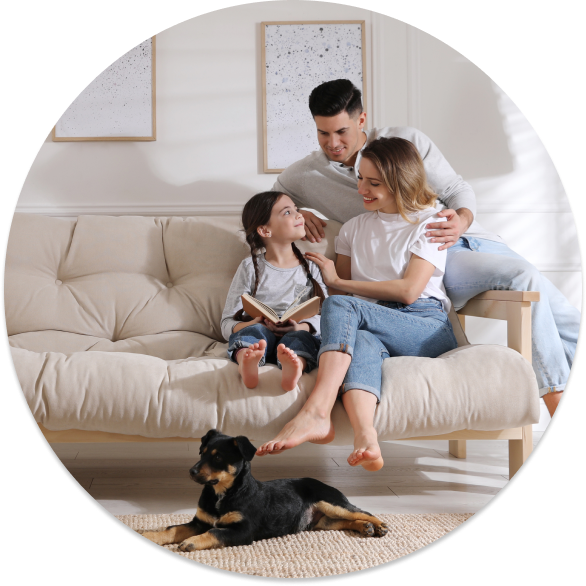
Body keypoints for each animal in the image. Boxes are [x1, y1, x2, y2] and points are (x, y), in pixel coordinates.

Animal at [139, 428, 386, 548]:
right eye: (202, 453)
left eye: (218, 457)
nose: (191, 471)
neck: (222, 493)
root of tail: (322, 482)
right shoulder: (199, 521)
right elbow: (172, 528)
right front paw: (151, 535)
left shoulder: (243, 530)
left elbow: (215, 532)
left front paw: (191, 542)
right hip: (321, 521)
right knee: (344, 521)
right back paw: (365, 528)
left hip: (331, 502)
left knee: (361, 511)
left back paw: (379, 525)